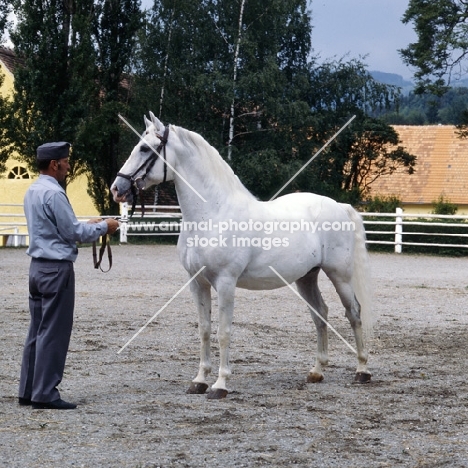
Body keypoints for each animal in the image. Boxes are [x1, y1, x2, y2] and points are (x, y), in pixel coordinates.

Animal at [111, 112, 374, 398]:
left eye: (145, 148)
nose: (117, 188)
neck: (213, 212)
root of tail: (339, 205)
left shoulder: (226, 282)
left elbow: (224, 332)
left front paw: (220, 385)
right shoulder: (197, 283)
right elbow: (205, 330)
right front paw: (199, 381)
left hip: (340, 276)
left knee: (354, 312)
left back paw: (362, 371)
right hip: (306, 277)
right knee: (320, 314)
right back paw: (316, 371)